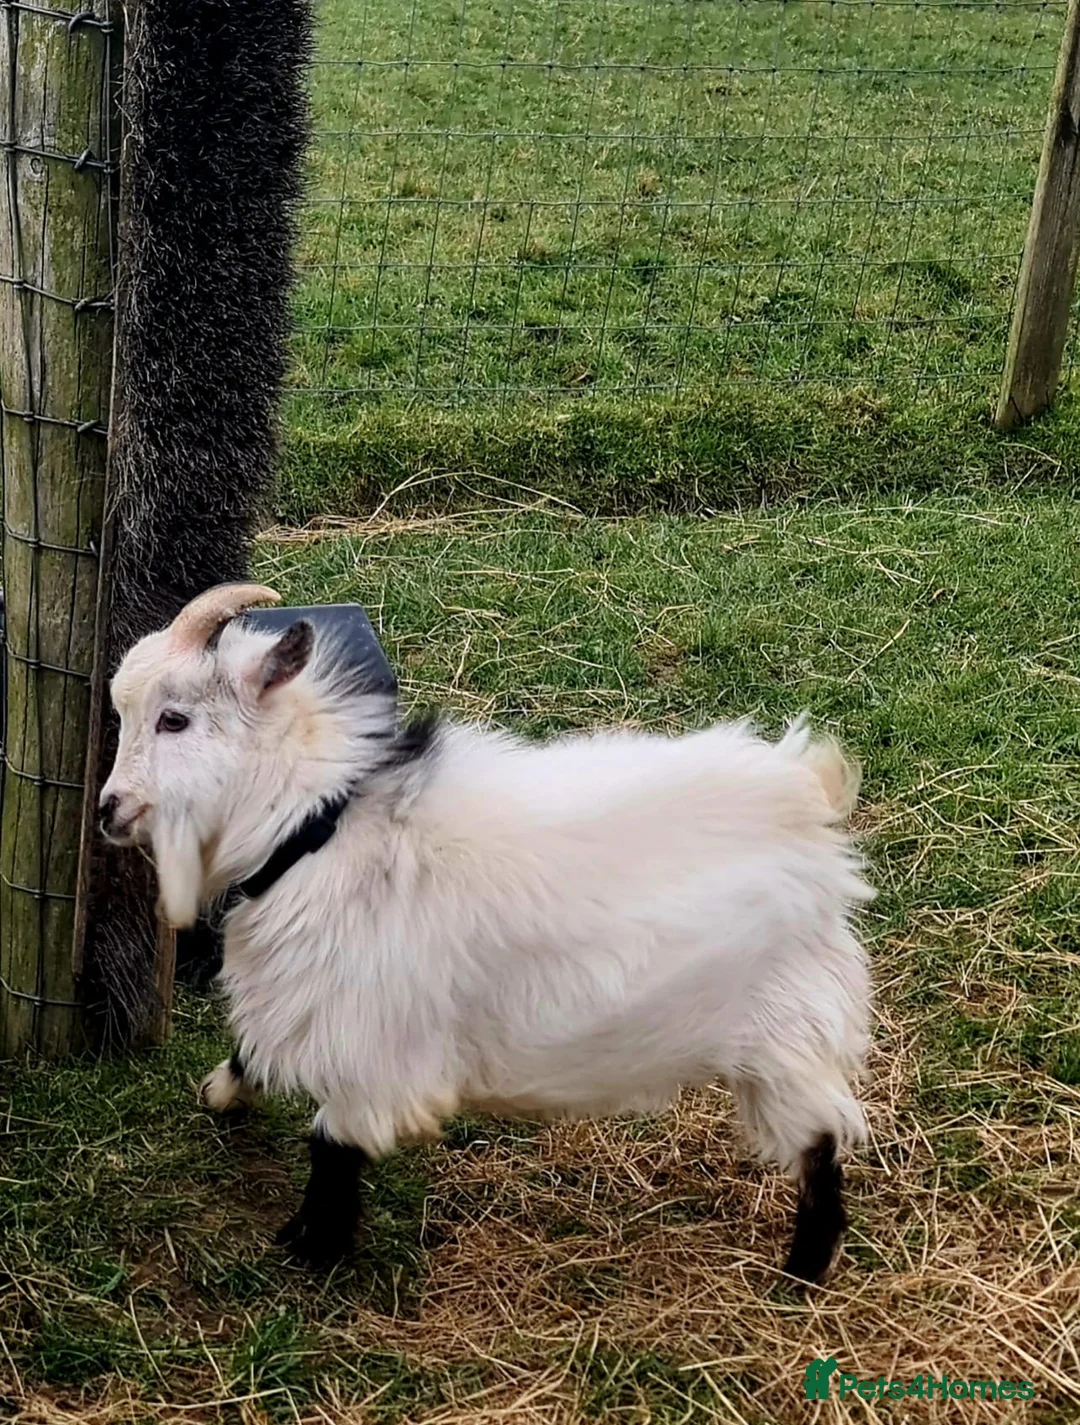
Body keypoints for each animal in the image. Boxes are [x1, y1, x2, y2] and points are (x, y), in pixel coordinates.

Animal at [100, 583, 874, 1285]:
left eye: (174, 719)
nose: (109, 810)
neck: (316, 827)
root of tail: (807, 795)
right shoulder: (311, 999)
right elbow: (253, 1052)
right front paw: (223, 1094)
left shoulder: (366, 1036)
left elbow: (333, 1144)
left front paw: (309, 1248)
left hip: (787, 1025)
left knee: (821, 1141)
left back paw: (803, 1272)